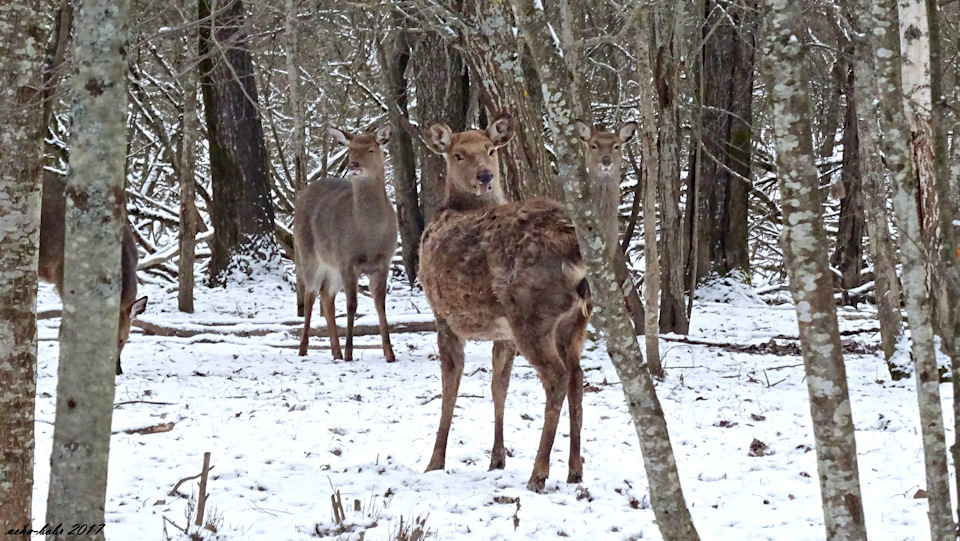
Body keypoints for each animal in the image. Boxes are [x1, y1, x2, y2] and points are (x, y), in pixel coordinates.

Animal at [292, 124, 398, 360]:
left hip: (332, 265)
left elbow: (380, 305)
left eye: (370, 149)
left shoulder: (384, 261)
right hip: (308, 253)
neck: (368, 235)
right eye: (350, 150)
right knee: (310, 295)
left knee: (326, 296)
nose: (353, 165)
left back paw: (336, 352)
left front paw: (390, 354)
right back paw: (304, 349)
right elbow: (352, 305)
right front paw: (350, 352)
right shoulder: (347, 261)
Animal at [422, 112, 592, 492]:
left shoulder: (443, 315)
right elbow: (498, 385)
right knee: (577, 376)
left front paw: (434, 462)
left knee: (557, 377)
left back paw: (539, 473)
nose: (485, 175)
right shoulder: (502, 333)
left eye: (490, 150)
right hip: (575, 321)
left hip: (530, 313)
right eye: (458, 154)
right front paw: (496, 458)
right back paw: (575, 469)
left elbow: (450, 386)